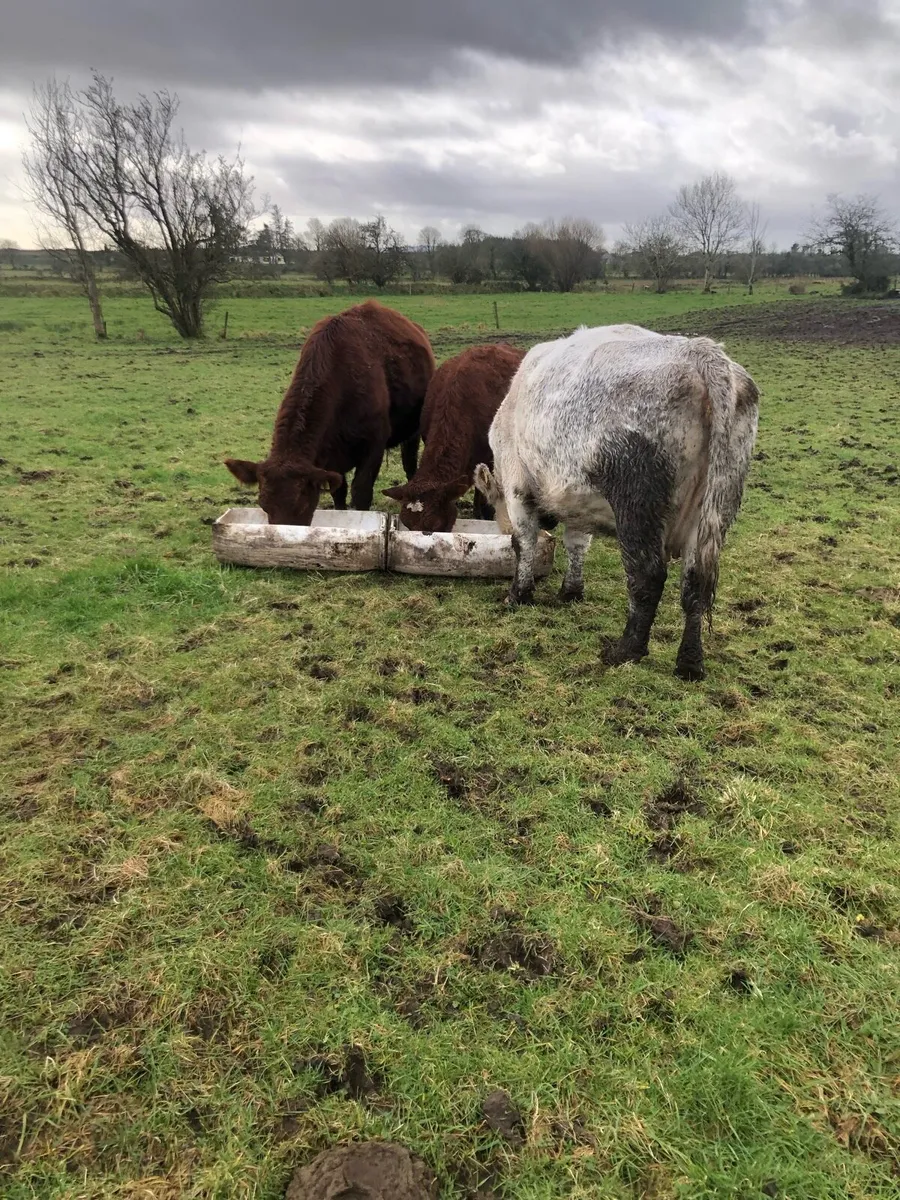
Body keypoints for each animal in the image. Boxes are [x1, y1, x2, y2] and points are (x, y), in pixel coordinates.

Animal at [224, 300, 434, 524]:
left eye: (302, 505)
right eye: (264, 506)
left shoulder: (374, 445)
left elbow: (361, 492)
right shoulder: (331, 459)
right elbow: (338, 493)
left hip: (413, 430)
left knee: (410, 464)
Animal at [474, 324, 759, 681]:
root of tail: (699, 353)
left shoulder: (516, 485)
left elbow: (523, 542)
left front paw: (518, 594)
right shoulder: (577, 502)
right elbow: (577, 544)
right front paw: (570, 591)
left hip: (637, 506)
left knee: (648, 576)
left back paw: (626, 650)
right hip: (714, 510)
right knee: (695, 584)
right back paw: (690, 663)